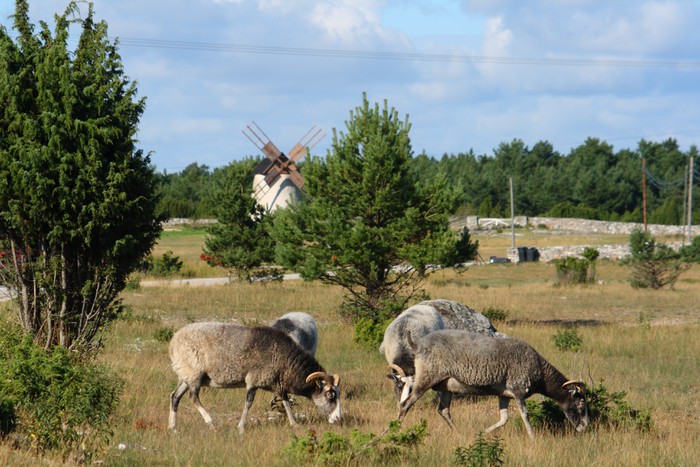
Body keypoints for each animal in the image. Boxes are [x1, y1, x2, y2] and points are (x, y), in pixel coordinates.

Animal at [168, 322, 340, 436]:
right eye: (329, 395)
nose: (339, 419)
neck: (285, 361)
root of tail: (173, 342)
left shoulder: (277, 383)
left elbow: (286, 402)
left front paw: (294, 424)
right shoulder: (253, 380)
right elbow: (248, 404)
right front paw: (241, 428)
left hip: (185, 375)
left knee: (175, 397)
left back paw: (173, 427)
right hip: (194, 373)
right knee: (193, 397)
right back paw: (211, 423)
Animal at [396, 330, 588, 438]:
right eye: (581, 402)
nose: (585, 427)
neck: (541, 371)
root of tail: (417, 344)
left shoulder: (504, 395)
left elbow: (503, 419)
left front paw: (481, 433)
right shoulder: (518, 390)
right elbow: (525, 415)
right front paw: (533, 438)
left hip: (445, 386)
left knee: (443, 411)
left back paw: (459, 435)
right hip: (425, 379)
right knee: (405, 404)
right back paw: (393, 430)